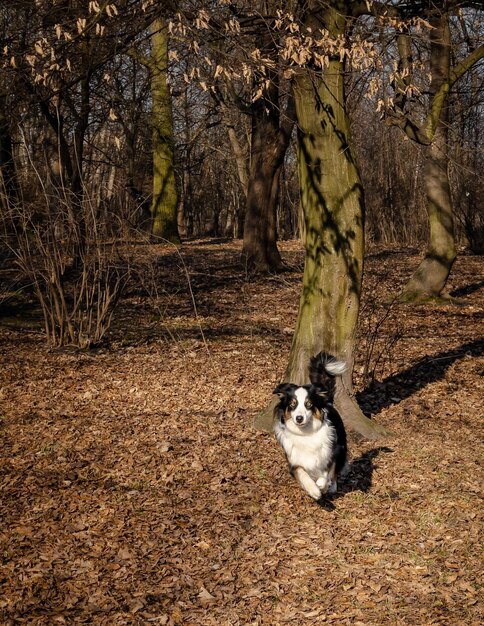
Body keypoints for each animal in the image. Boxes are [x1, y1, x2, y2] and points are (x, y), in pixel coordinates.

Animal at [272, 352, 348, 502]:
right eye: (292, 404)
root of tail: (327, 401)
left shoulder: (333, 450)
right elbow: (302, 473)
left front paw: (323, 485)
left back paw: (332, 486)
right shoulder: (293, 460)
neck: (305, 433)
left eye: (309, 404)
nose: (299, 418)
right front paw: (314, 490)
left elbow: (327, 472)